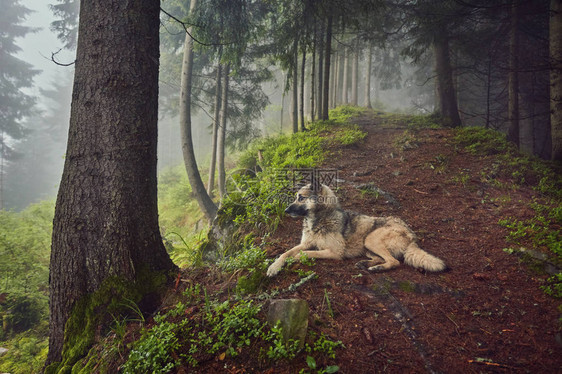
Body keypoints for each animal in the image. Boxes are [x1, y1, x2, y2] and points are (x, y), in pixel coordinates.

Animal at [264, 184, 444, 278]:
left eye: (301, 197)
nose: (286, 210)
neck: (318, 219)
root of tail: (412, 235)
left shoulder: (334, 252)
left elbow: (305, 254)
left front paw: (294, 259)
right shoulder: (305, 243)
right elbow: (285, 253)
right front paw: (274, 267)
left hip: (371, 239)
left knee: (394, 261)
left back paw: (376, 268)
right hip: (368, 247)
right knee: (383, 258)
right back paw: (366, 264)